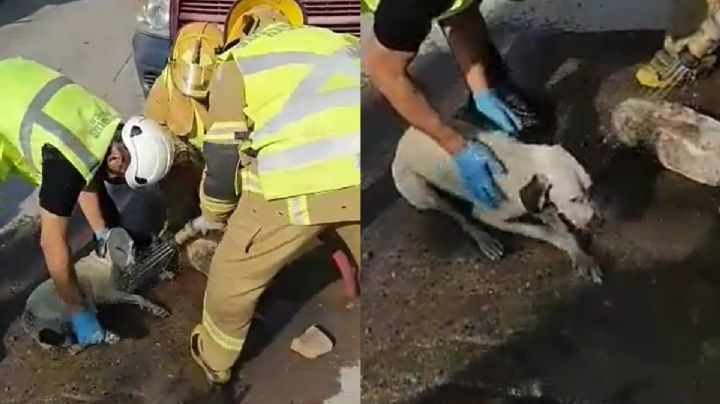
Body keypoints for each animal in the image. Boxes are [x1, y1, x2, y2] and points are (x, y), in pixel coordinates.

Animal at [390, 123, 604, 284]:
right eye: (573, 199)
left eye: (589, 189)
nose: (594, 220)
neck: (523, 162)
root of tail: (401, 142)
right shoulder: (490, 215)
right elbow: (544, 231)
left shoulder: (542, 204)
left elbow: (562, 228)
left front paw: (581, 255)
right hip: (422, 195)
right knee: (457, 215)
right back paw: (484, 239)